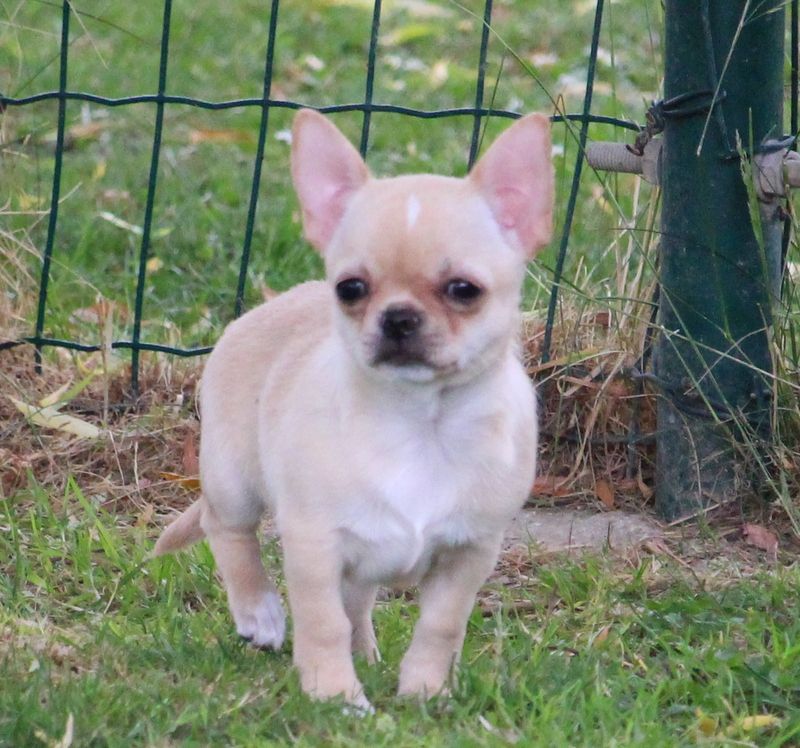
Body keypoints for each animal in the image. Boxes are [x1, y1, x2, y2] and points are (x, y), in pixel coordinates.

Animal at [153, 109, 554, 710]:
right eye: (350, 288)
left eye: (463, 289)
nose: (398, 318)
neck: (419, 422)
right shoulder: (315, 544)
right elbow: (322, 623)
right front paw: (334, 695)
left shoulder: (468, 553)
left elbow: (440, 626)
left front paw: (425, 691)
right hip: (233, 477)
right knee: (227, 530)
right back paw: (259, 612)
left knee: (358, 599)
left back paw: (365, 652)